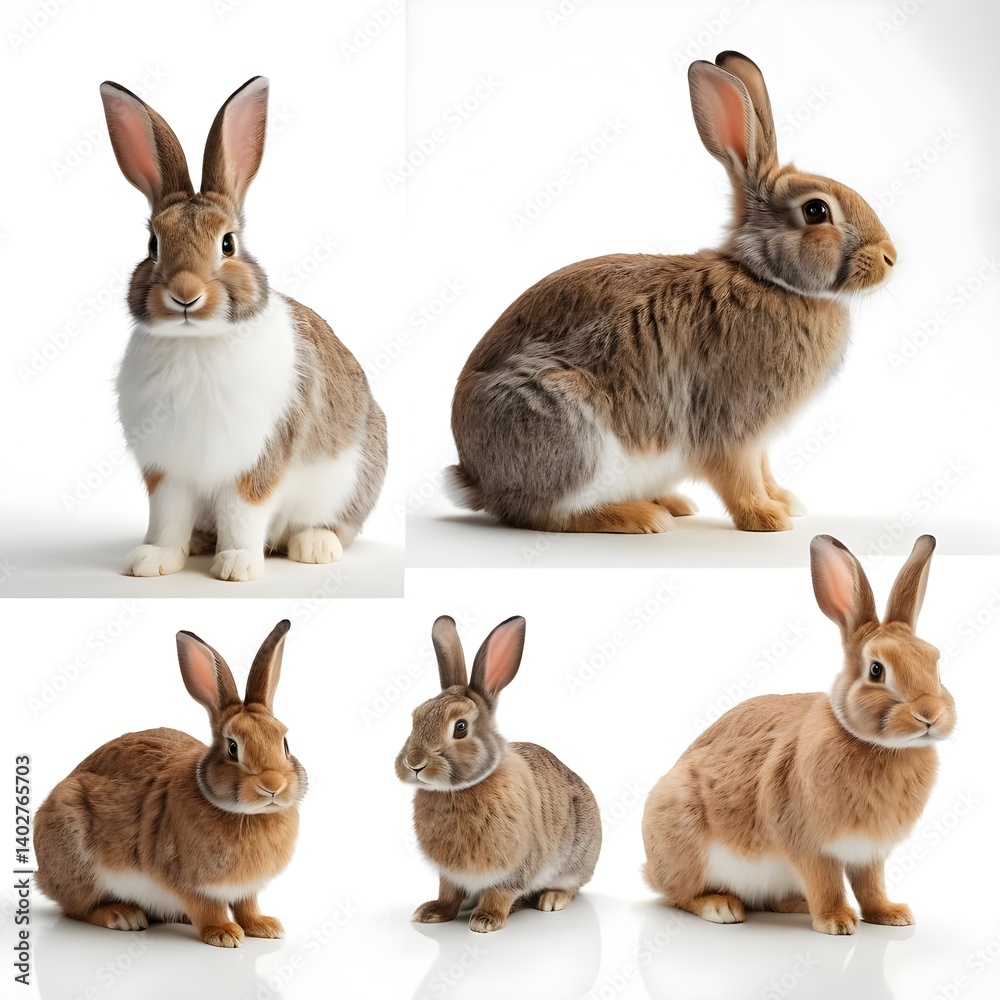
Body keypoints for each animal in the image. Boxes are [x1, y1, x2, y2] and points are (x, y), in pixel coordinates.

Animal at [33, 620, 307, 948]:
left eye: (285, 743)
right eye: (232, 747)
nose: (273, 785)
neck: (245, 814)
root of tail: (41, 876)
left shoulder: (245, 889)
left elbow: (247, 905)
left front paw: (264, 926)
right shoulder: (189, 882)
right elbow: (207, 908)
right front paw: (224, 933)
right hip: (76, 855)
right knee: (78, 907)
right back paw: (123, 915)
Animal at [100, 76, 387, 581]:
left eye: (228, 243)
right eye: (153, 244)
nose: (185, 295)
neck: (195, 342)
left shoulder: (256, 463)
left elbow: (242, 513)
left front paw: (237, 567)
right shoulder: (167, 471)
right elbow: (167, 516)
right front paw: (154, 560)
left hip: (356, 476)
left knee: (336, 524)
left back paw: (314, 546)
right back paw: (199, 543)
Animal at [395, 615, 602, 932]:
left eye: (460, 727)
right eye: (415, 717)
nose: (414, 762)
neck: (457, 790)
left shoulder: (515, 868)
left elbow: (500, 893)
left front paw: (486, 920)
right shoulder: (449, 874)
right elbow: (448, 892)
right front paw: (432, 912)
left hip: (576, 859)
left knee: (572, 885)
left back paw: (550, 899)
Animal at [447, 51, 896, 534]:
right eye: (816, 210)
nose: (890, 257)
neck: (766, 277)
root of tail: (476, 479)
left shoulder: (759, 439)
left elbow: (763, 468)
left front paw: (784, 501)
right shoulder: (731, 425)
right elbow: (739, 475)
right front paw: (767, 519)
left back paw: (671, 503)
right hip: (569, 434)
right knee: (546, 513)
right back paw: (641, 517)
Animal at [642, 534, 955, 935]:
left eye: (935, 663)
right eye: (876, 670)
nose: (930, 715)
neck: (879, 747)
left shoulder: (869, 853)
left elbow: (871, 886)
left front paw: (891, 915)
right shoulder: (809, 846)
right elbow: (826, 882)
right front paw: (837, 921)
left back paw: (796, 904)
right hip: (684, 843)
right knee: (678, 894)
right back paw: (721, 906)